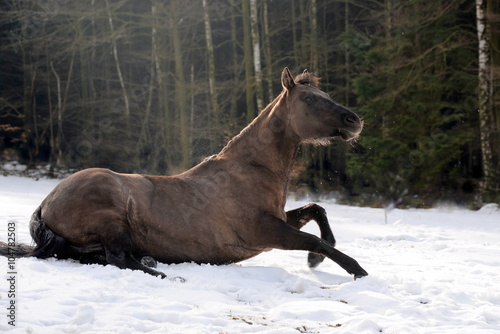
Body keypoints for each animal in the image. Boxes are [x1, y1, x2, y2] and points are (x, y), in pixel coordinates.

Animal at [0, 69, 368, 280]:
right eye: (309, 99)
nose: (355, 121)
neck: (249, 171)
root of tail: (46, 202)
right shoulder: (264, 232)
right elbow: (316, 239)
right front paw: (354, 270)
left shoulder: (278, 221)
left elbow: (317, 212)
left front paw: (315, 261)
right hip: (111, 220)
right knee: (118, 259)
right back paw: (166, 274)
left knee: (101, 258)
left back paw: (152, 260)